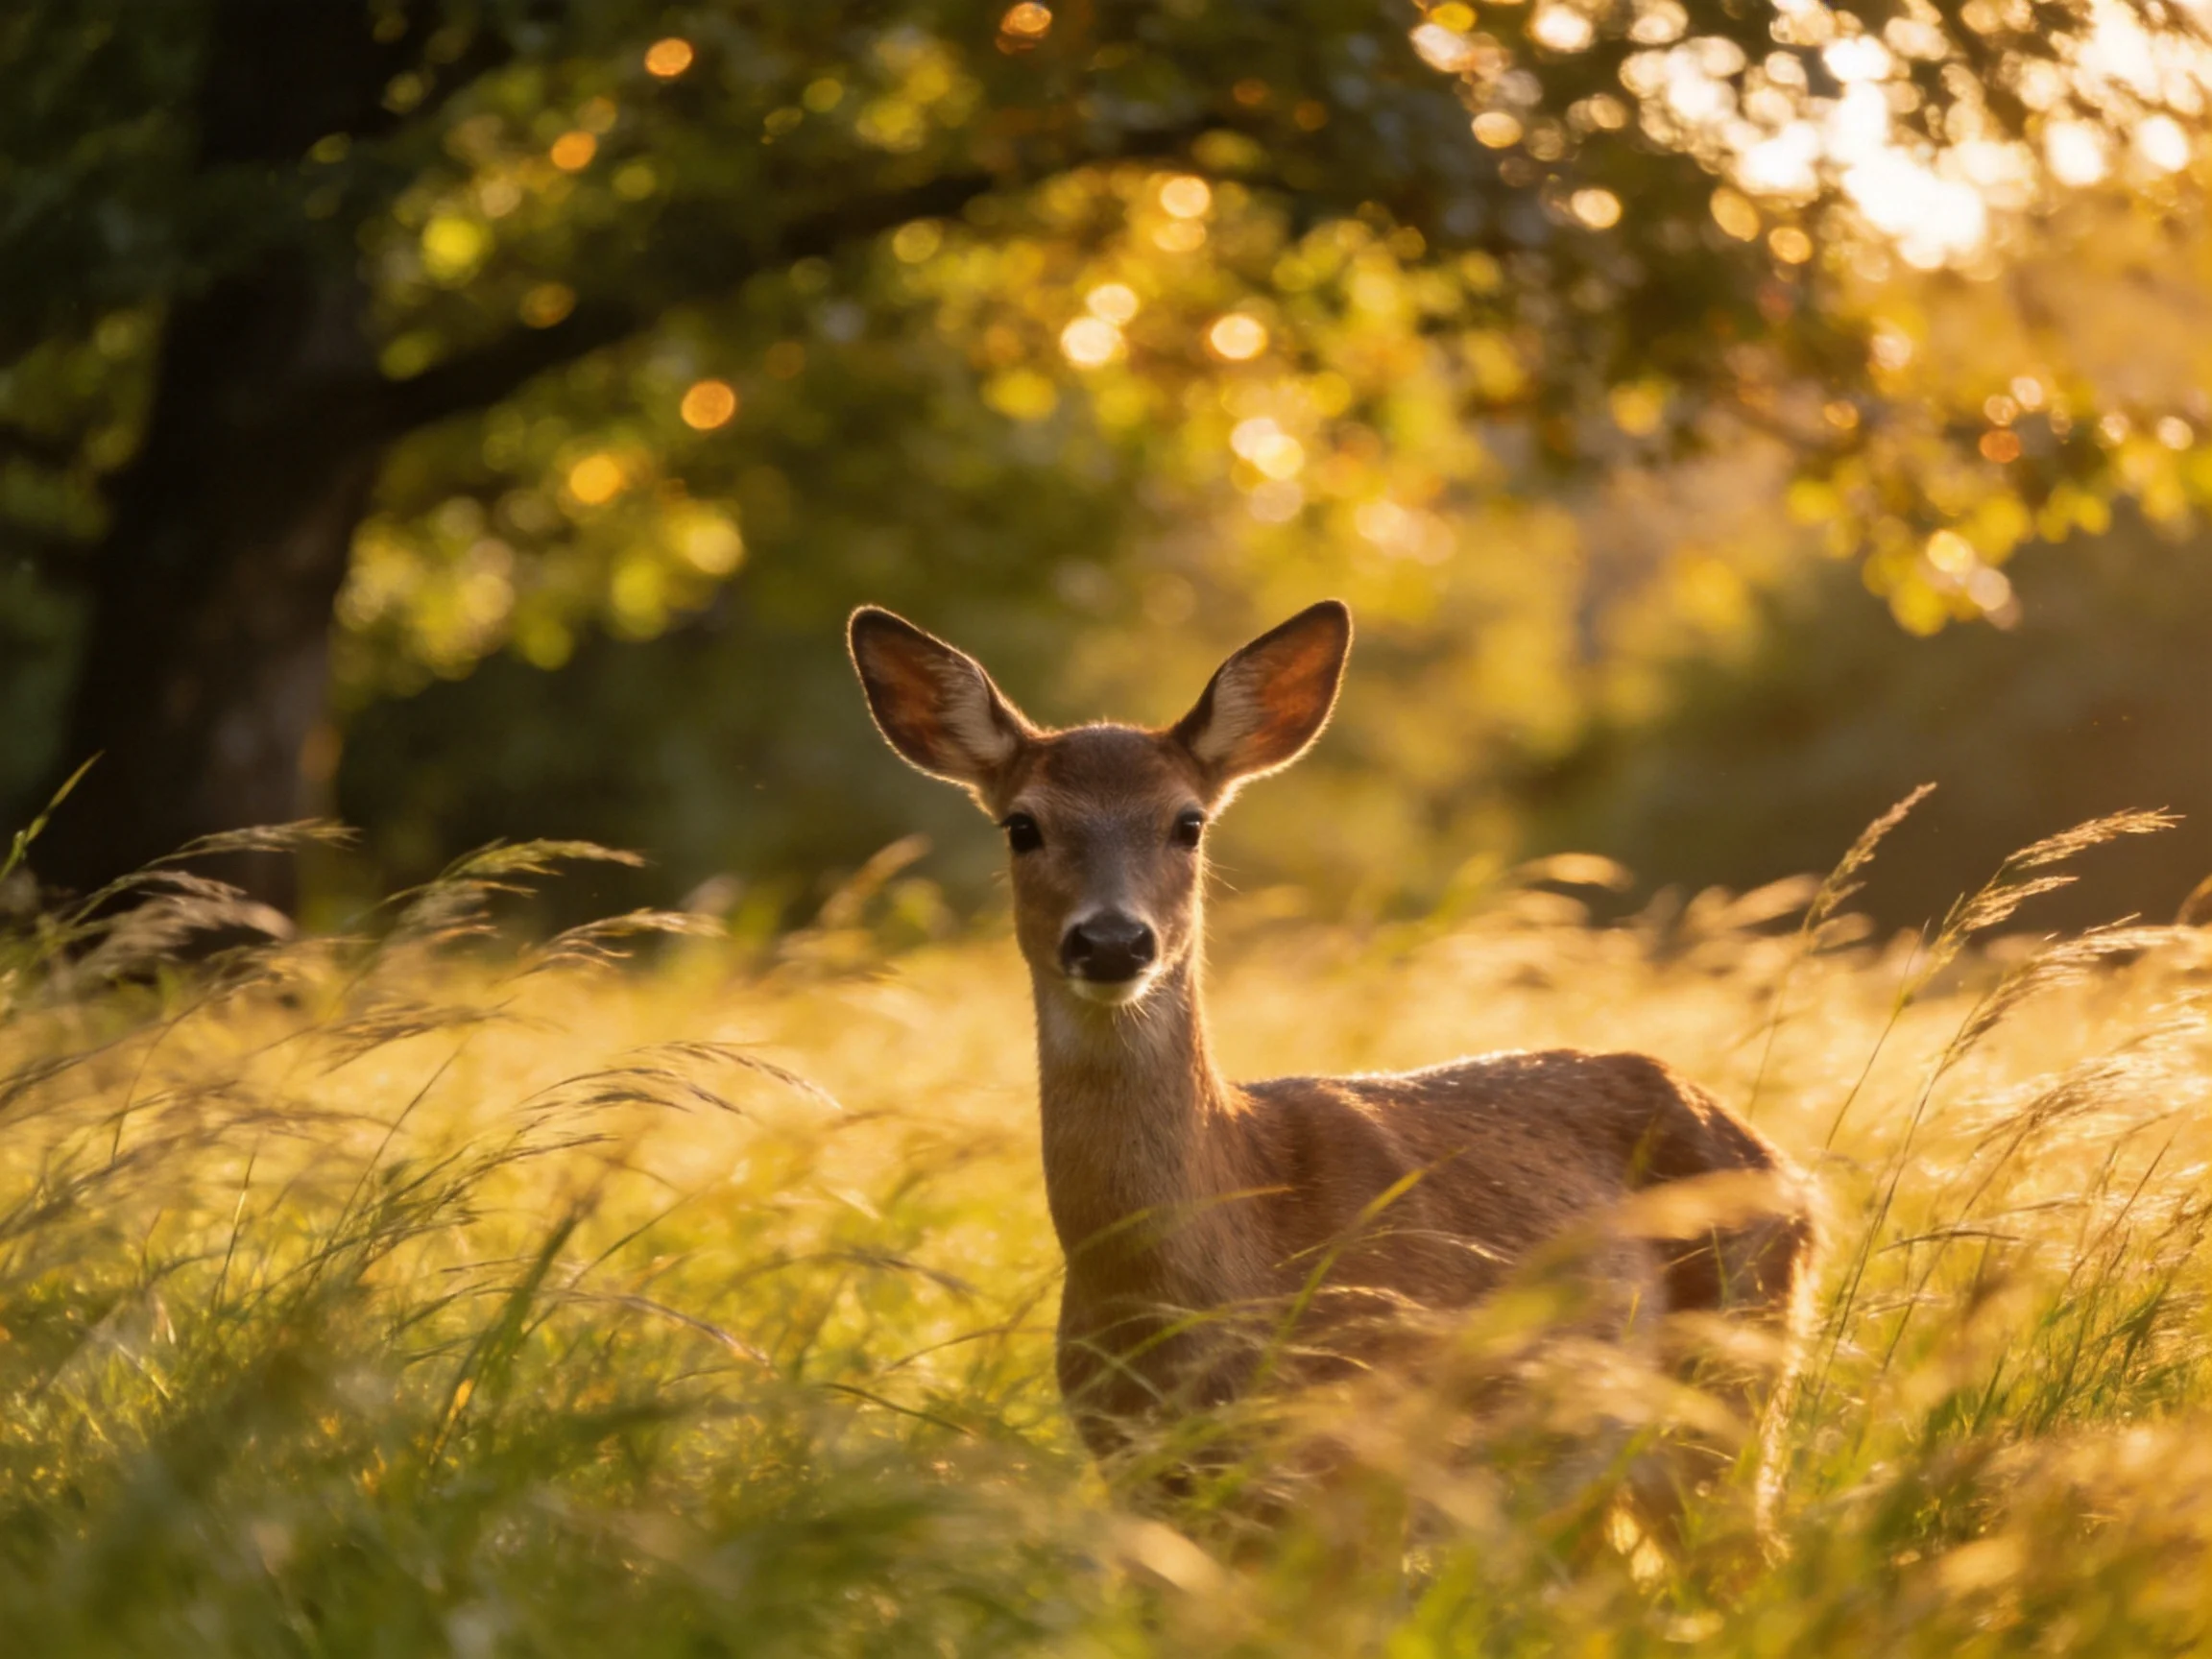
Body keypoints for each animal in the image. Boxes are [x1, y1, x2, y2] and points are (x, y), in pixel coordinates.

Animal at [848, 598, 1816, 1532]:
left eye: (1188, 823)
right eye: (1022, 825)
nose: (1114, 940)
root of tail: (1795, 1175)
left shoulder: (1368, 1470)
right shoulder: (1136, 1475)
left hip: (1733, 1394)